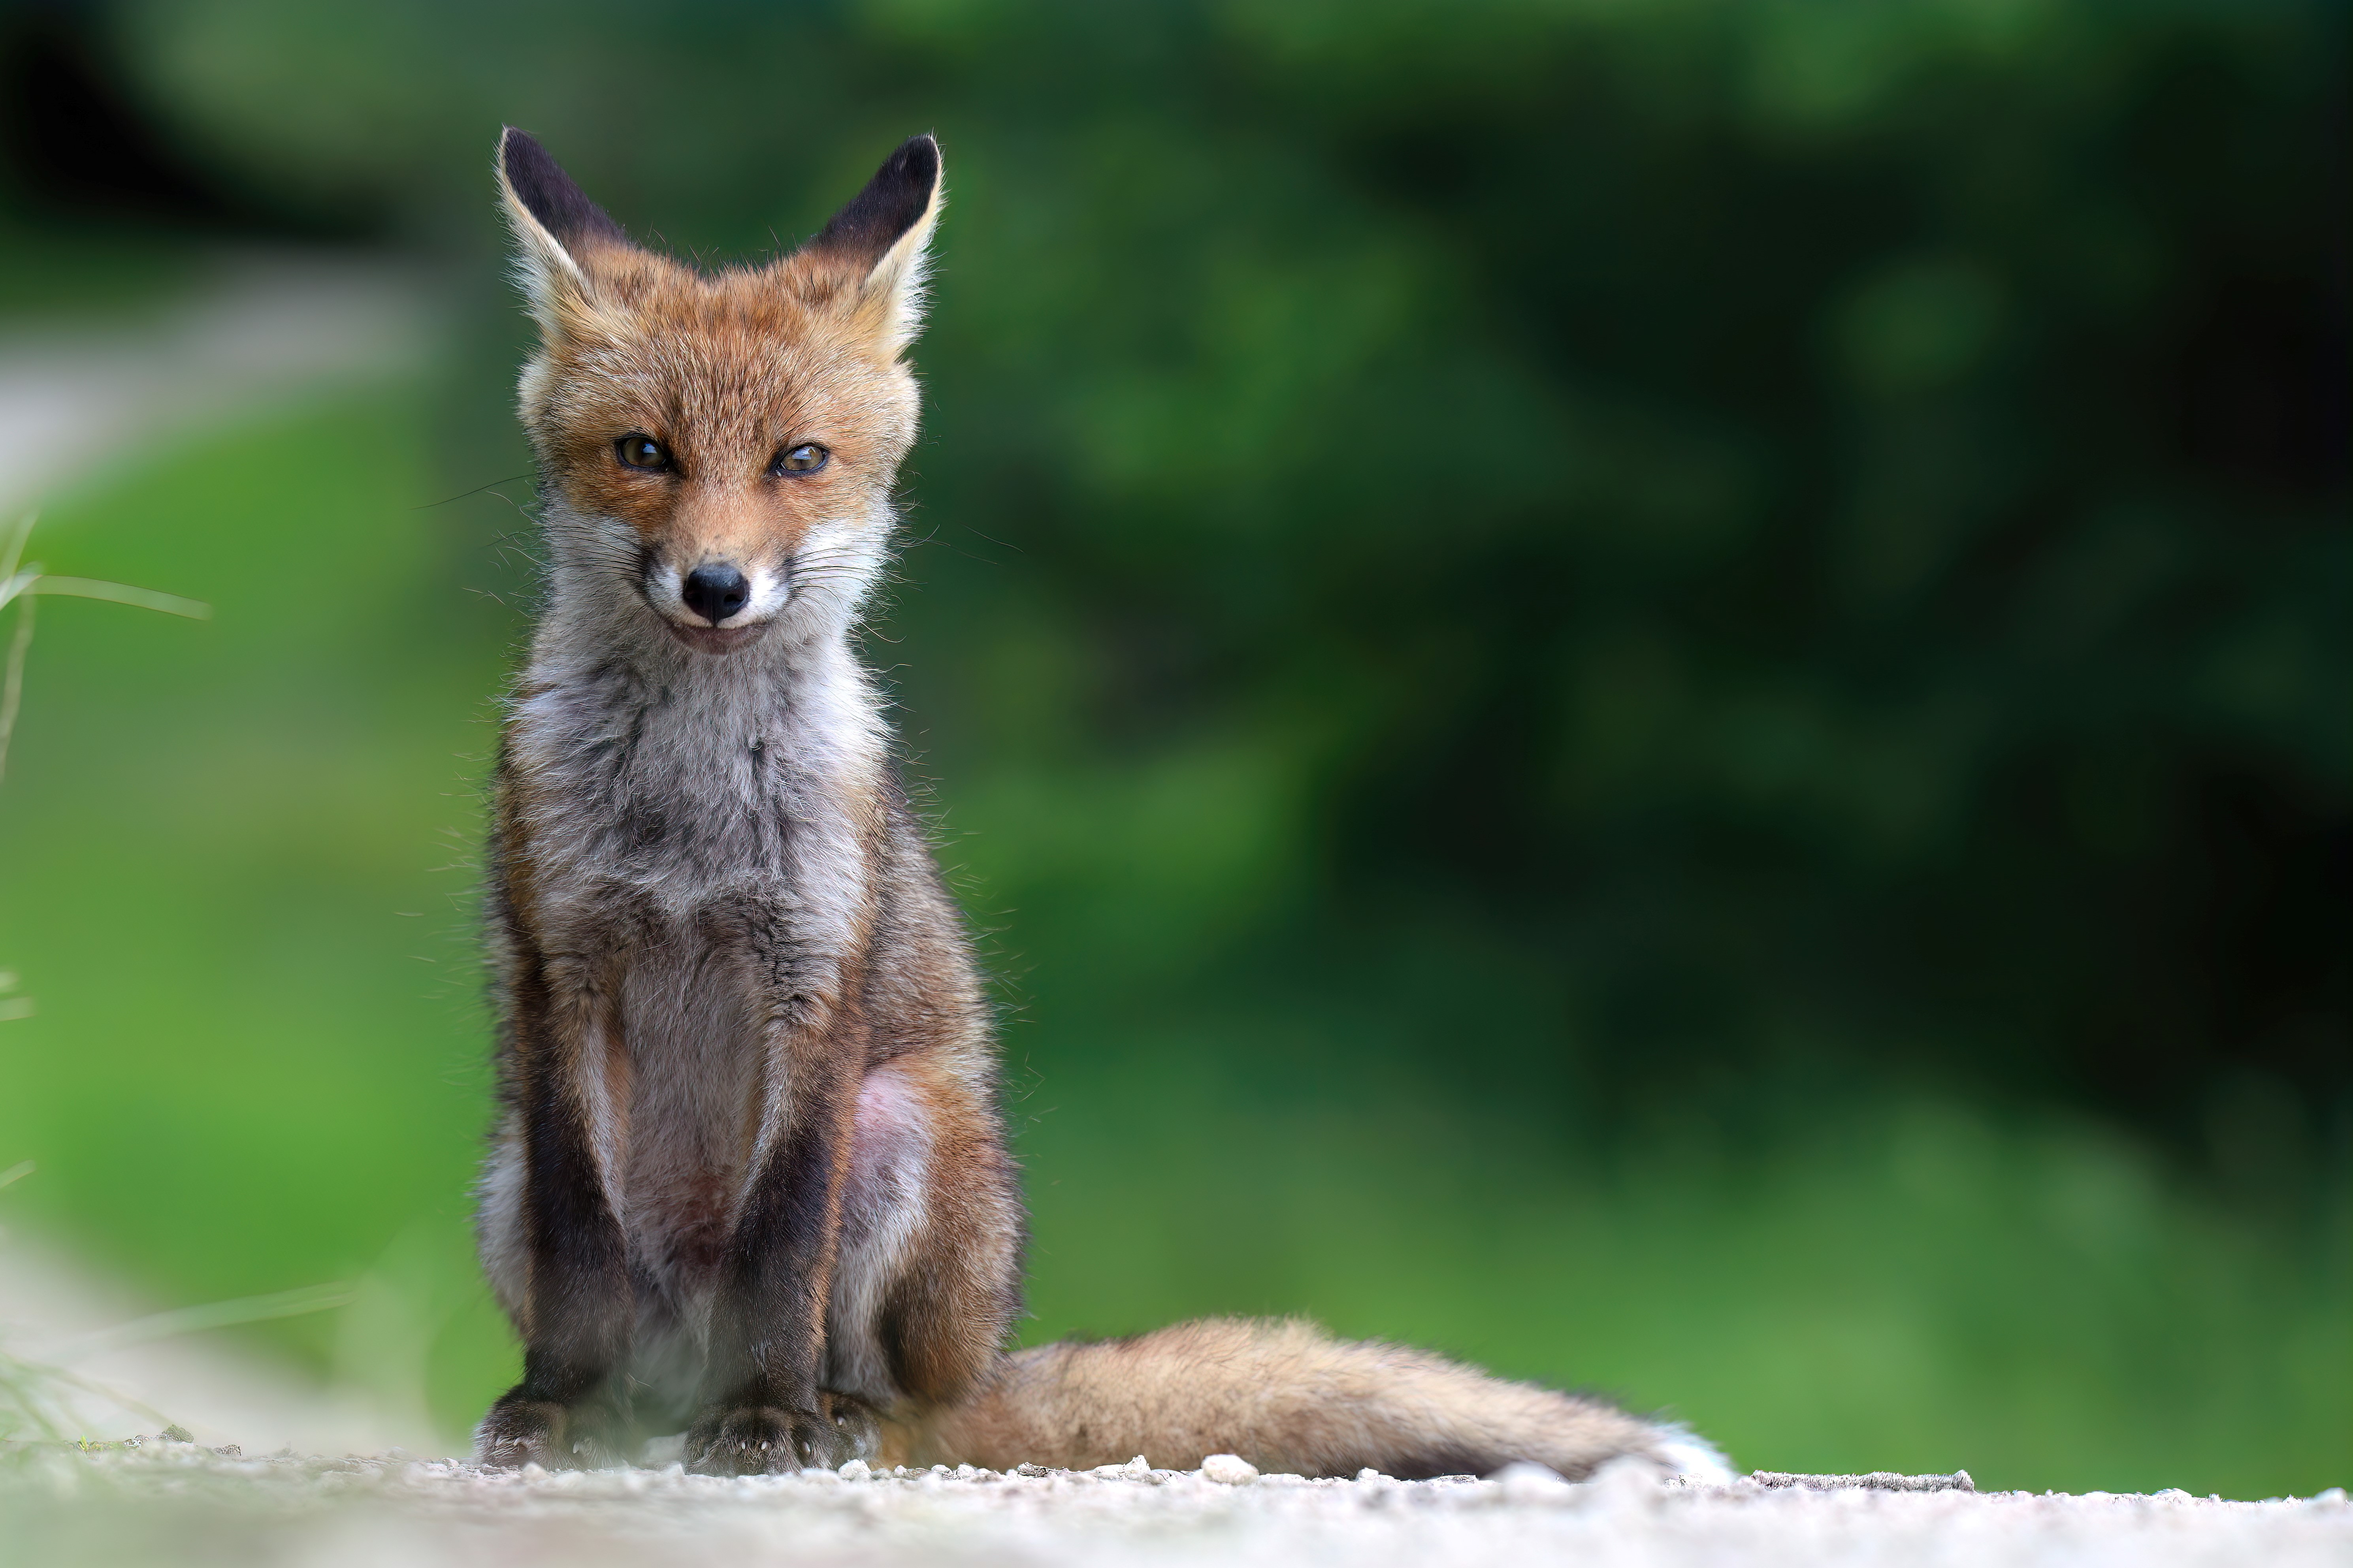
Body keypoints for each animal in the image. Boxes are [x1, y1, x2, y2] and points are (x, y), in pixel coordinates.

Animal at [473, 125, 1730, 1483]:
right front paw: (559, 1407)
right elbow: (582, 1243)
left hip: (904, 1129)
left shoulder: (813, 983)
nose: (715, 586)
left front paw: (765, 1418)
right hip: (502, 1174)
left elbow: (779, 1244)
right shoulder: (562, 973)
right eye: (644, 453)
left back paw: (826, 1415)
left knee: (897, 1404)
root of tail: (985, 1361)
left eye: (797, 461)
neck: (690, 812)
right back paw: (633, 1417)